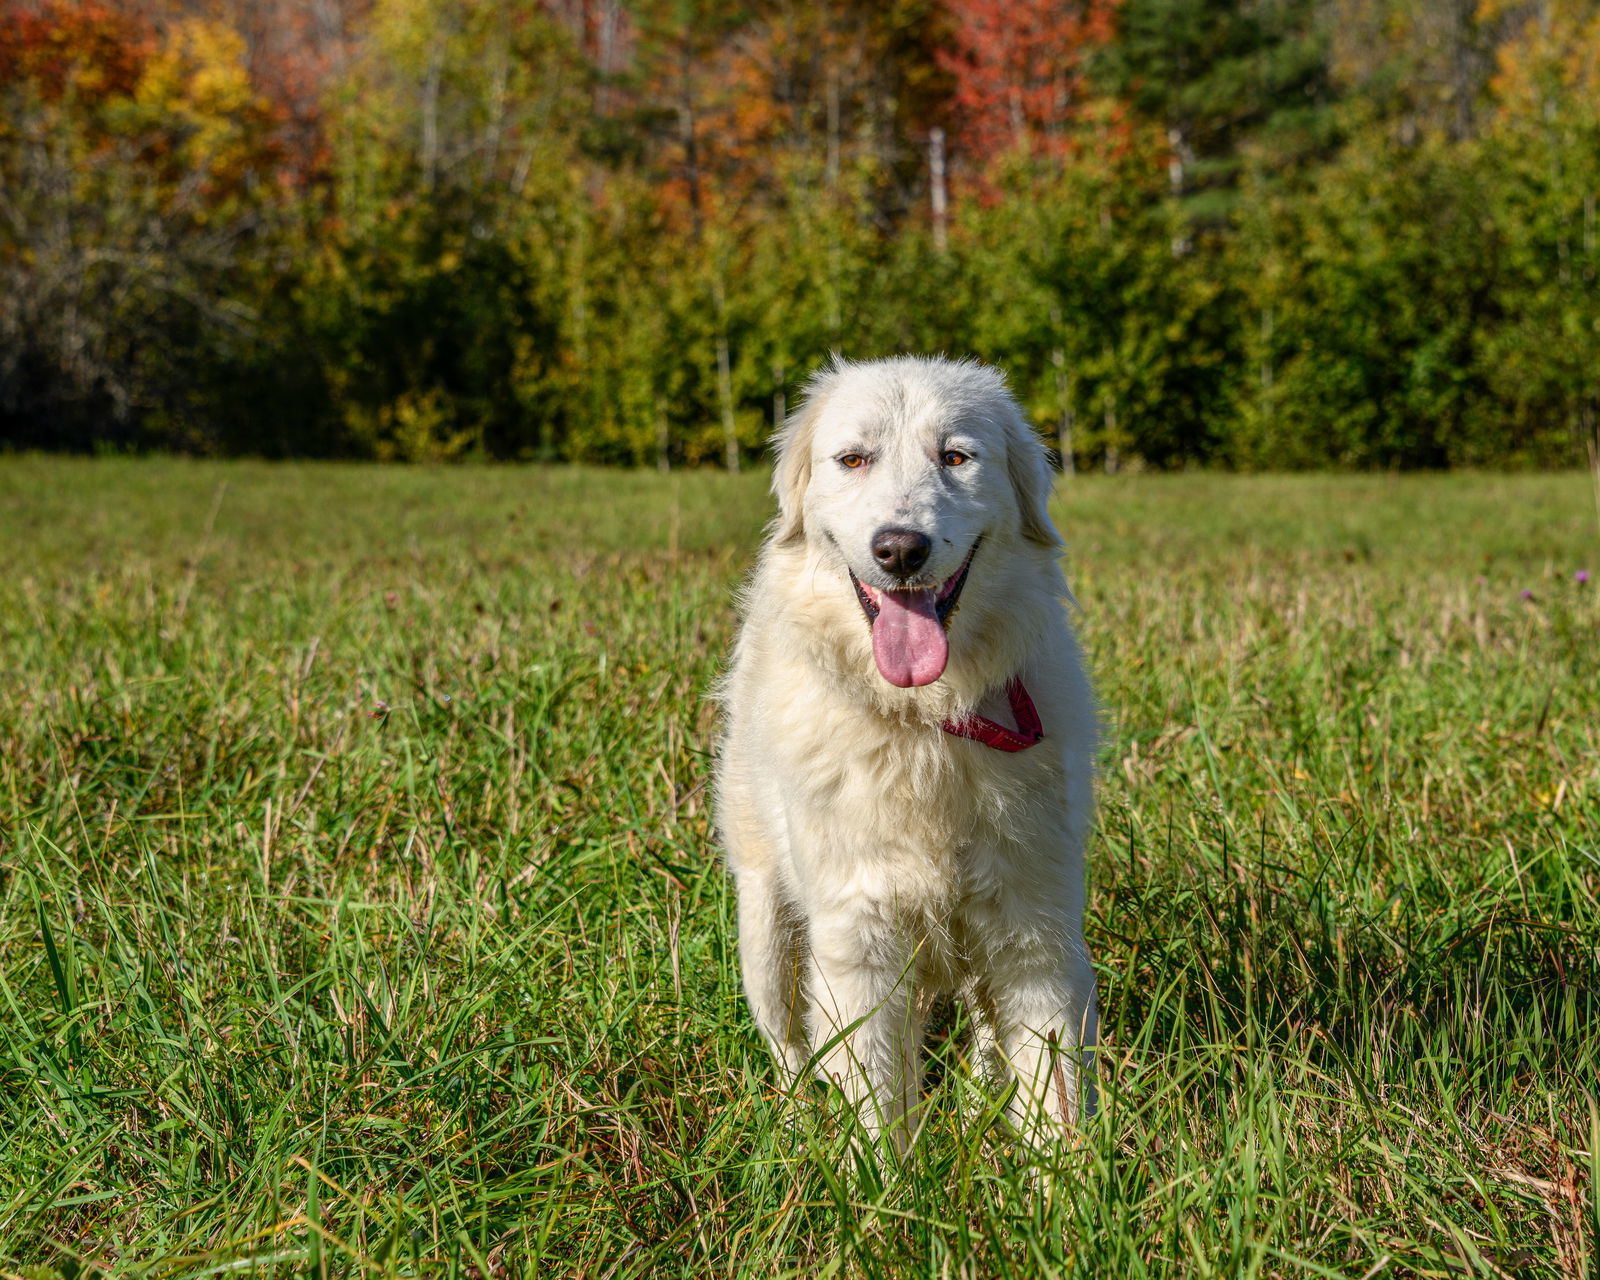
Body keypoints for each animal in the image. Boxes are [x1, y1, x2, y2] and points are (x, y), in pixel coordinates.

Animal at [716, 352, 1100, 1152]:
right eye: (853, 459)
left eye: (954, 457)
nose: (900, 549)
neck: (925, 722)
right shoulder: (857, 944)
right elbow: (876, 1111)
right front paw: (882, 1184)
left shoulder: (1038, 933)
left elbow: (1053, 1102)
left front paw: (1063, 1183)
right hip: (763, 926)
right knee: (787, 1048)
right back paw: (796, 1129)